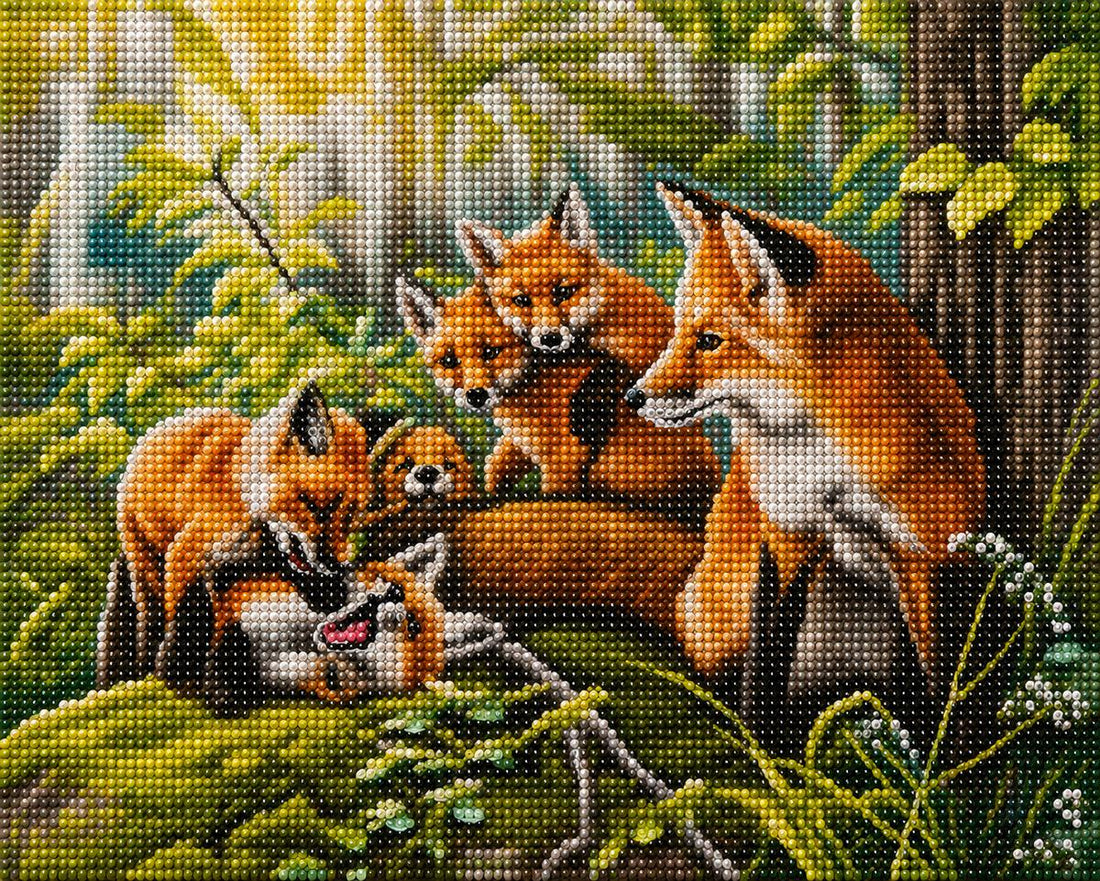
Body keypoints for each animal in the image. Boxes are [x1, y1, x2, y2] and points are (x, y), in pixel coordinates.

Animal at [102, 382, 397, 694]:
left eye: (349, 516)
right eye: (319, 507)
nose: (334, 567)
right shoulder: (185, 557)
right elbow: (183, 623)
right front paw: (174, 675)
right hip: (145, 572)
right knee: (147, 624)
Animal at [398, 276, 719, 515]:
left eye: (490, 352)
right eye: (449, 360)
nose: (475, 395)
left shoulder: (565, 457)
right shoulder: (525, 444)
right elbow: (496, 469)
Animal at [626, 182, 986, 678]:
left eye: (709, 340)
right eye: (679, 330)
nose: (632, 397)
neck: (826, 471)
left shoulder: (926, 557)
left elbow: (938, 674)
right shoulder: (786, 538)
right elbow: (767, 656)